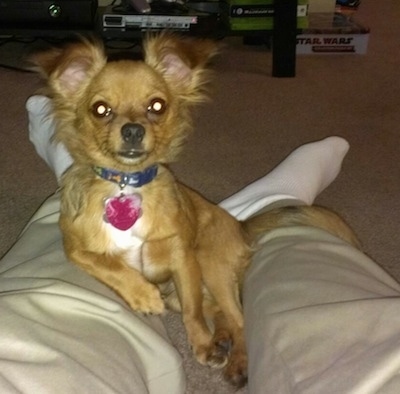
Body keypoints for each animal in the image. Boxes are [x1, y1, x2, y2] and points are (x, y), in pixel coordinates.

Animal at [32, 32, 360, 386]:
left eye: (157, 106)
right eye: (100, 109)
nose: (132, 130)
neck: (126, 184)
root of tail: (241, 225)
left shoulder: (183, 257)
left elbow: (193, 312)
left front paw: (201, 345)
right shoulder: (75, 249)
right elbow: (109, 265)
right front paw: (143, 295)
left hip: (211, 263)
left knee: (236, 317)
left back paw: (237, 361)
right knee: (220, 313)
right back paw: (222, 339)